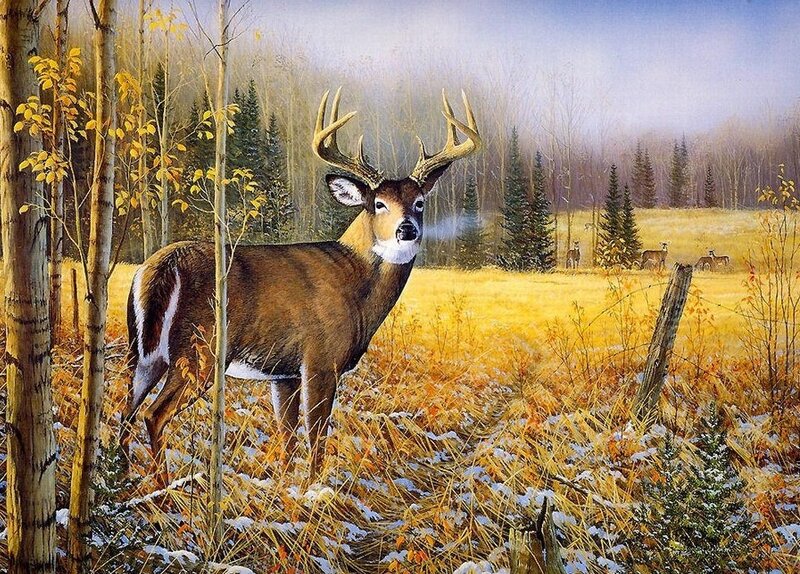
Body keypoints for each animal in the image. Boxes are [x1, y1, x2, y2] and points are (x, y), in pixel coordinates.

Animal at [118, 88, 481, 486]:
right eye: (378, 203)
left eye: (419, 203)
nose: (407, 229)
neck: (355, 282)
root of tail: (158, 267)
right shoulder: (320, 358)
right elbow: (315, 434)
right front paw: (313, 488)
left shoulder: (283, 372)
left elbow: (287, 436)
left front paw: (283, 485)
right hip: (200, 350)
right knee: (153, 414)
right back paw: (163, 487)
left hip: (144, 353)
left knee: (124, 410)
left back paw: (121, 478)